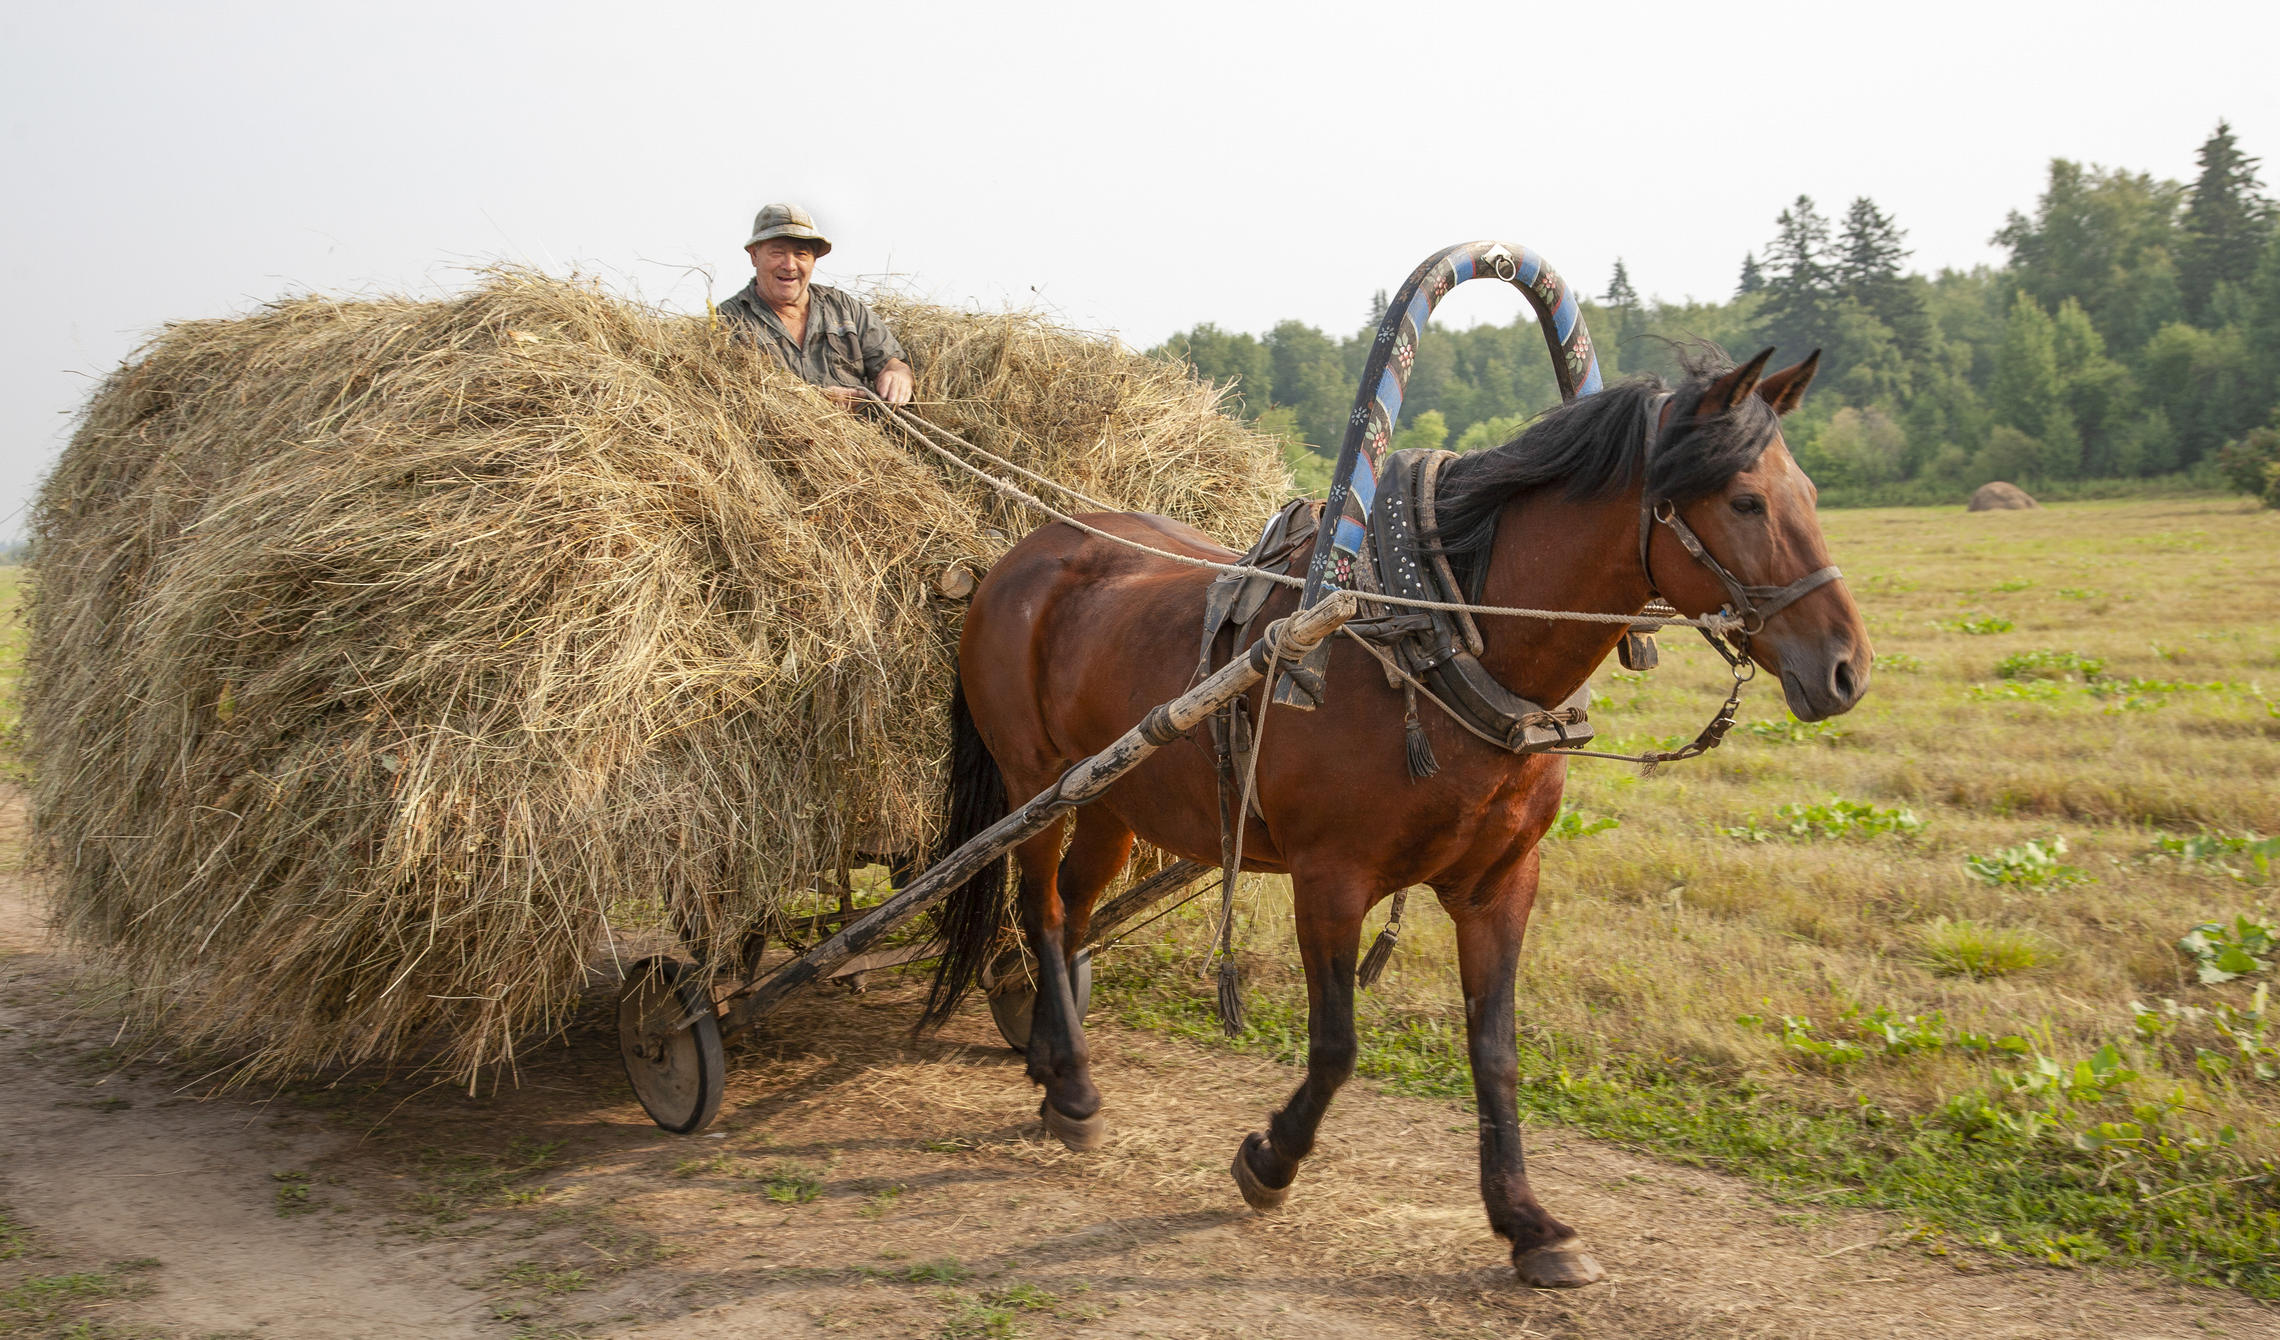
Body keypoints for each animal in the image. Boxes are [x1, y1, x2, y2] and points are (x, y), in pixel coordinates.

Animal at [921, 348, 1869, 1285]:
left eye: (1810, 492)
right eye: (1744, 501)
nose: (1847, 670)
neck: (1440, 638)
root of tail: (1016, 558)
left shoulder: (1501, 884)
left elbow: (1496, 1051)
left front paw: (1527, 1221)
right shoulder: (1328, 880)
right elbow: (1337, 1044)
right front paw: (1271, 1160)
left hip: (1110, 796)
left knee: (1074, 913)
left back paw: (1049, 1055)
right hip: (1035, 782)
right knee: (1043, 911)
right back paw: (1074, 1089)